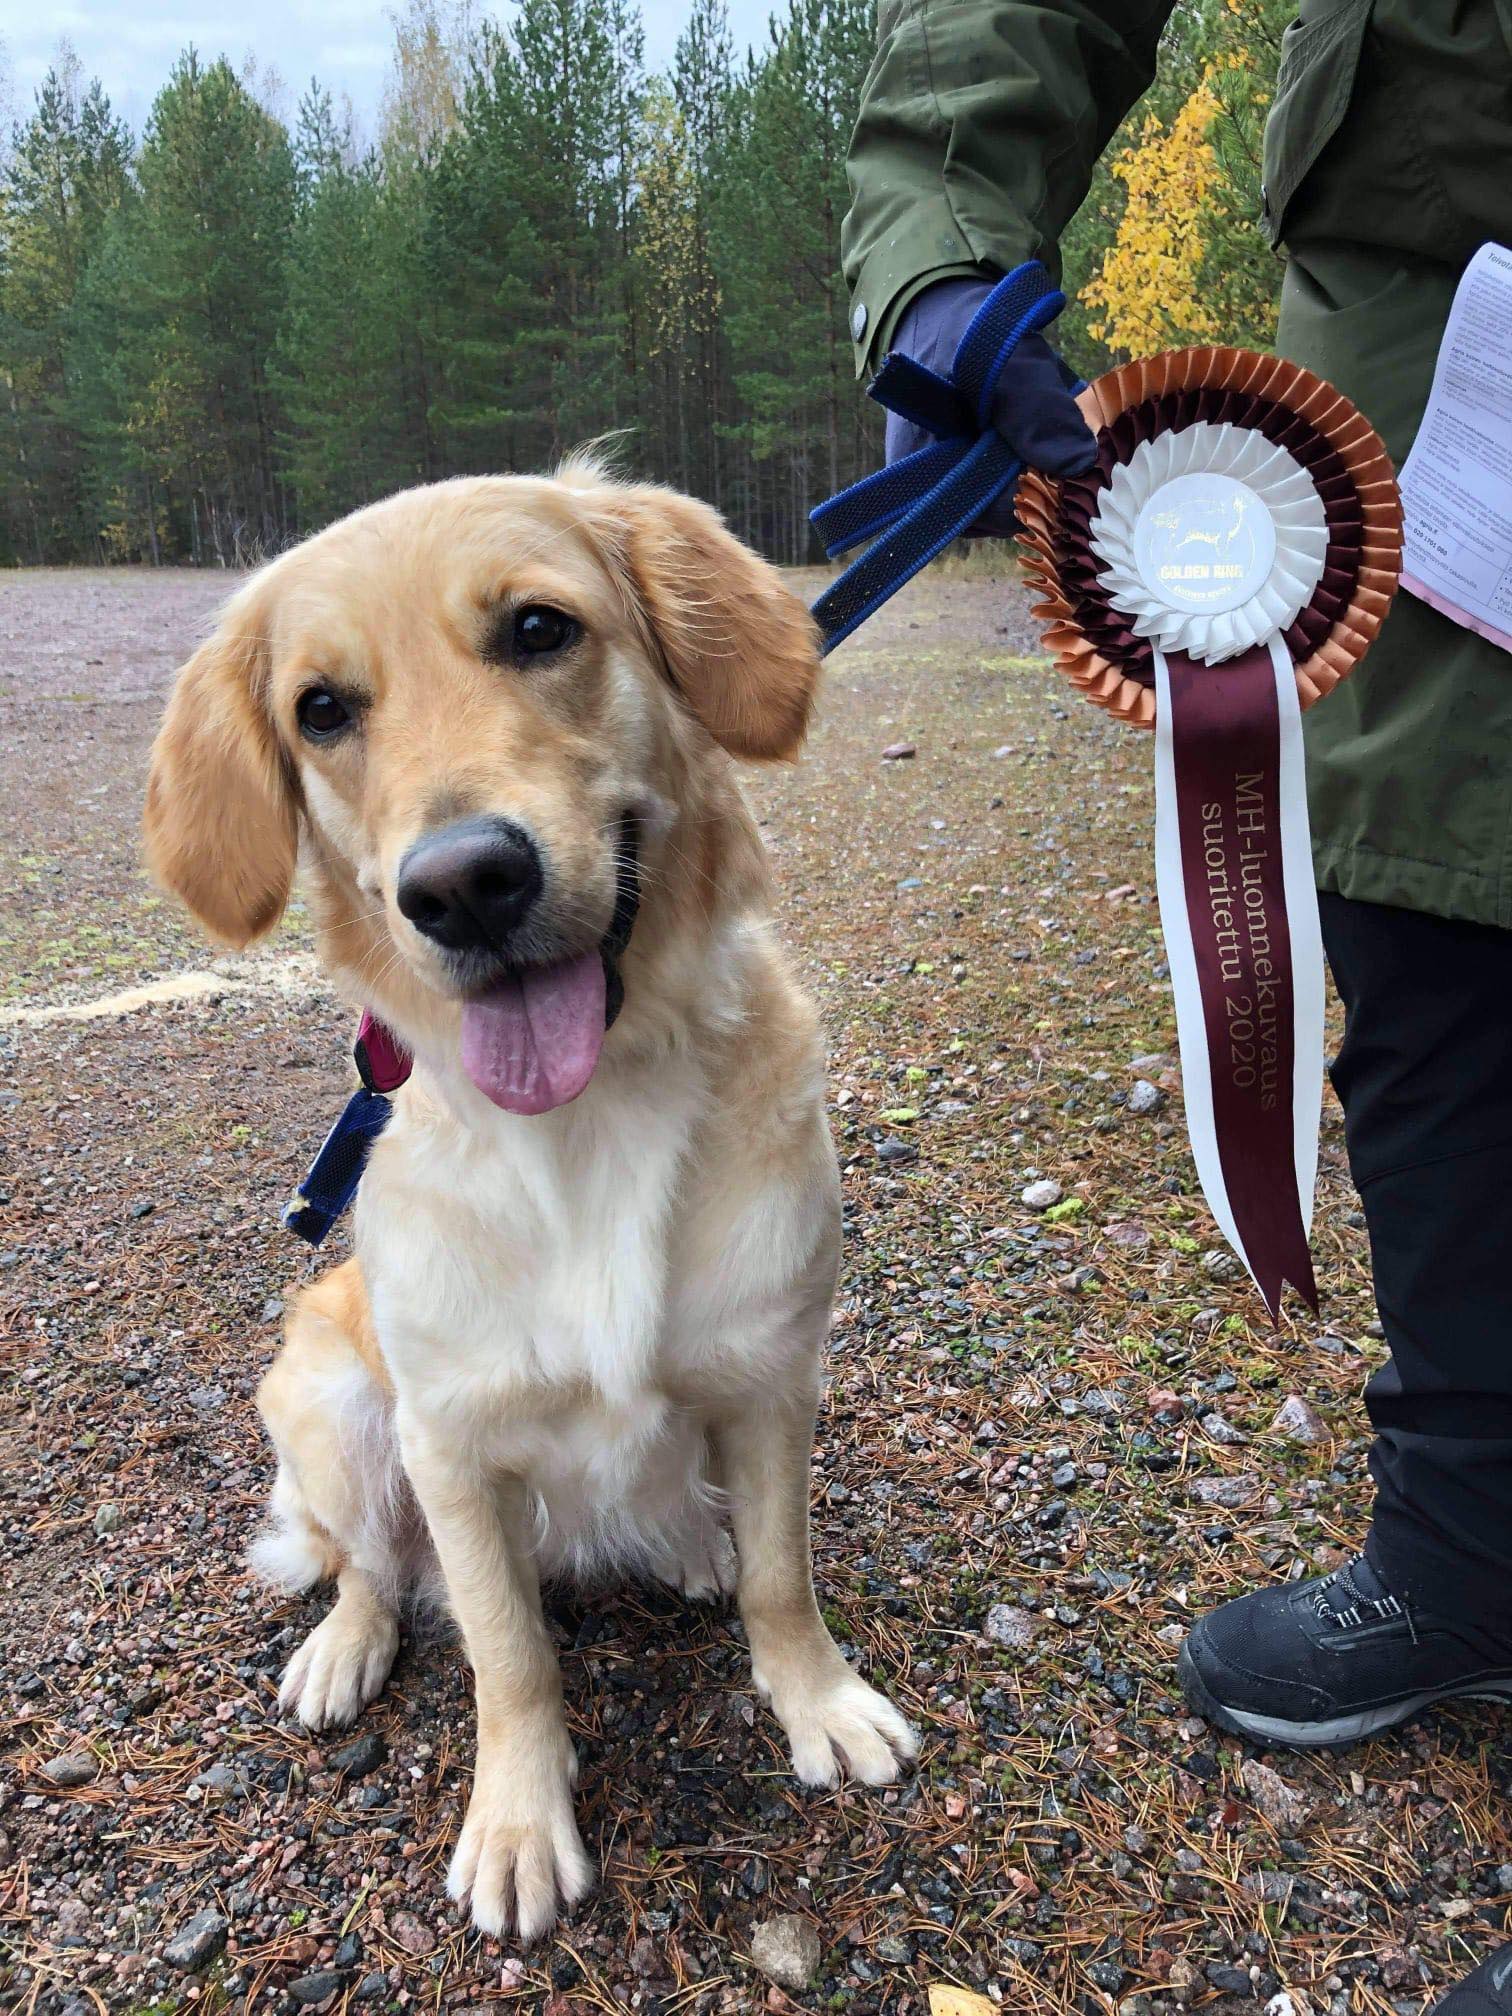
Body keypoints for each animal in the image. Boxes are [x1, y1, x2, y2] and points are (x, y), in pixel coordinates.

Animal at [143, 466, 917, 1940]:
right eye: (320, 709)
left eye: (540, 629)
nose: (462, 884)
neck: (588, 1118)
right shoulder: (450, 1443)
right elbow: (510, 1654)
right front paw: (516, 1822)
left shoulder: (771, 1377)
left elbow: (783, 1575)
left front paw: (819, 1700)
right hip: (331, 1403)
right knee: (367, 1565)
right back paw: (342, 1648)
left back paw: (687, 1542)